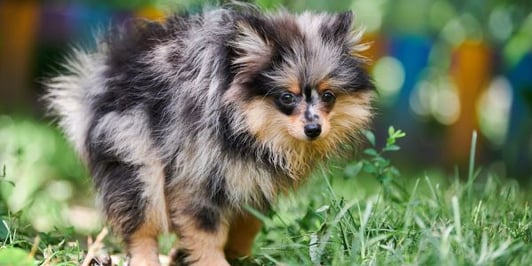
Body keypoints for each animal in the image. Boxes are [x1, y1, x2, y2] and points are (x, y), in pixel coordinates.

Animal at [46, 4, 374, 266]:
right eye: (286, 98)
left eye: (328, 96)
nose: (313, 129)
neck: (244, 127)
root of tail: (101, 79)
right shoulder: (198, 175)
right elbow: (206, 231)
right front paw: (215, 262)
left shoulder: (252, 180)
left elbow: (248, 224)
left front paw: (242, 257)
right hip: (136, 159)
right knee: (142, 223)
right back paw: (146, 259)